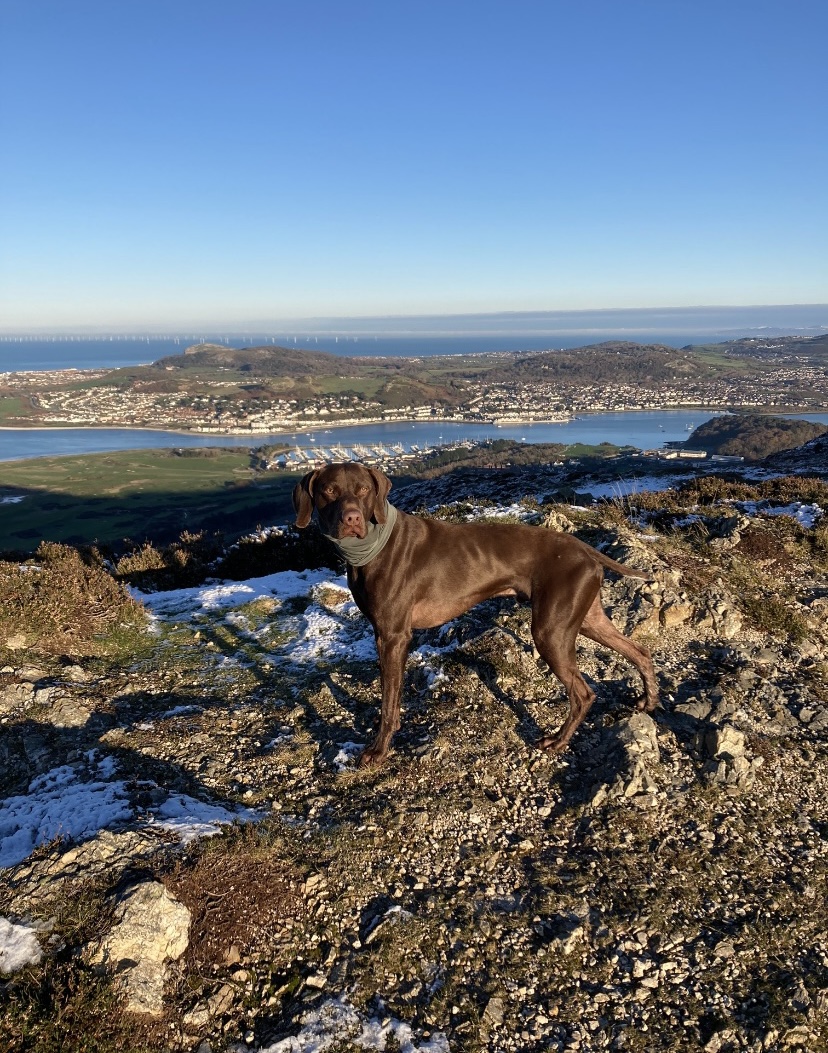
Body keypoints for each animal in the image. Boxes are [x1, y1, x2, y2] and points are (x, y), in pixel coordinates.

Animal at [293, 462, 658, 768]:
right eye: (329, 490)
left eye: (363, 489)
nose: (352, 518)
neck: (373, 546)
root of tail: (583, 548)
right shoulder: (382, 633)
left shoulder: (393, 636)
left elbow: (388, 703)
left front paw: (379, 749)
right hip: (587, 620)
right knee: (639, 651)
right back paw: (648, 701)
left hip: (551, 631)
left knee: (584, 694)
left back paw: (557, 741)